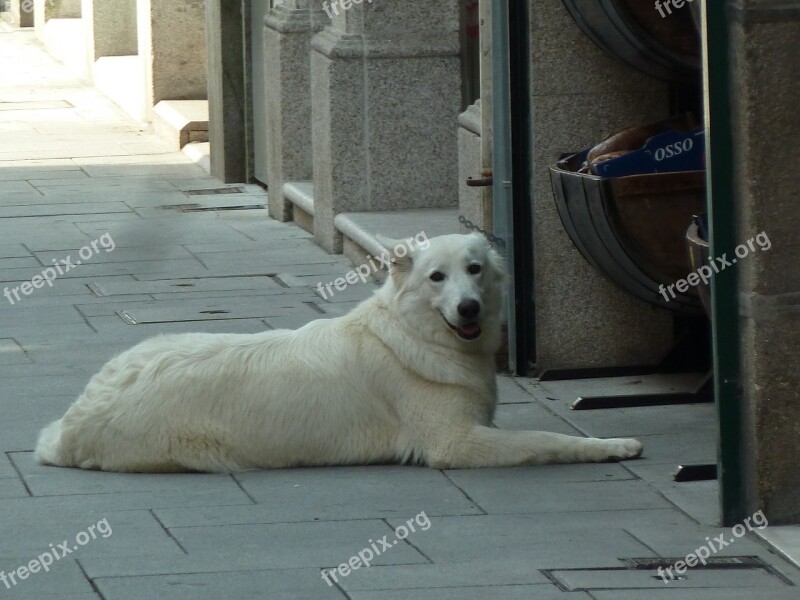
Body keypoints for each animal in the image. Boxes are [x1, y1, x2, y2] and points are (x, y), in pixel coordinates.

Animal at [36, 232, 644, 472]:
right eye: (436, 277)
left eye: (474, 270)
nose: (469, 308)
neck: (412, 336)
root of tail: (71, 423)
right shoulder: (456, 443)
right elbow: (548, 440)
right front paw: (611, 446)